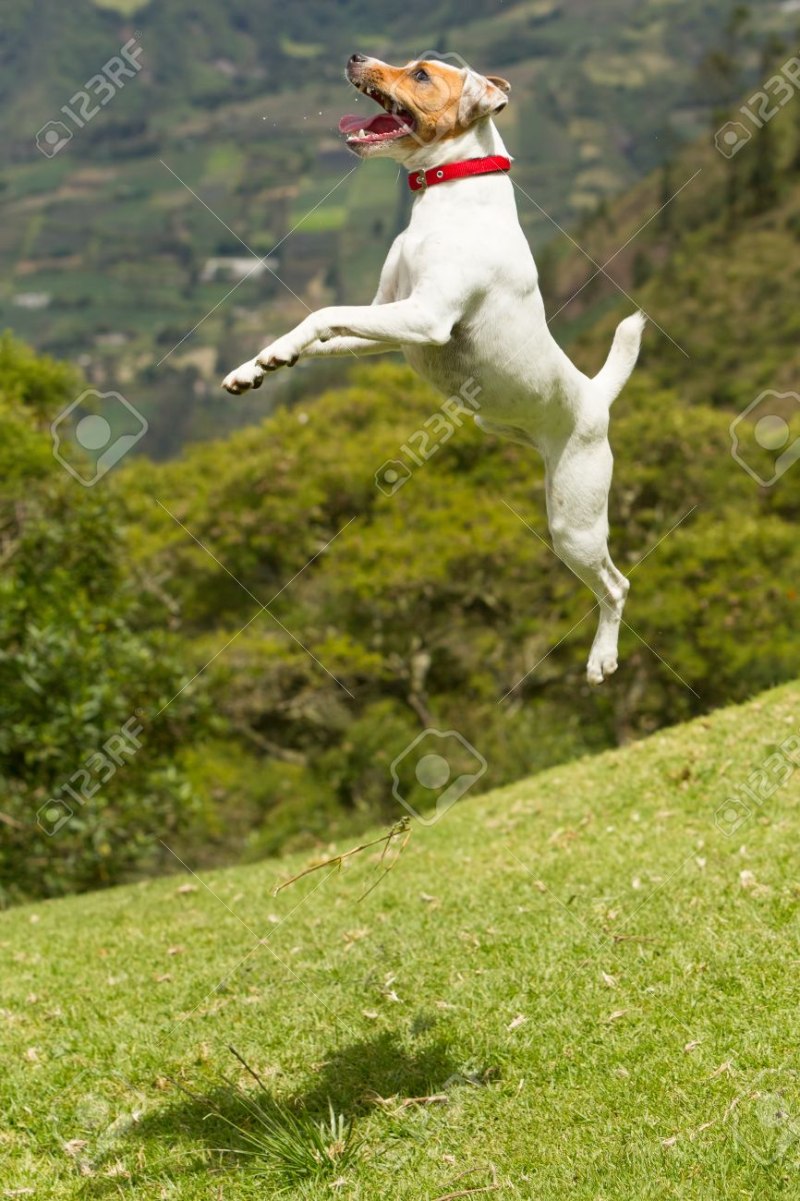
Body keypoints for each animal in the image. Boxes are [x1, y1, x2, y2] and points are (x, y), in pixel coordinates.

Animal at [221, 51, 643, 686]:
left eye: (420, 74)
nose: (356, 56)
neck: (450, 193)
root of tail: (596, 395)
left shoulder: (424, 317)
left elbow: (322, 313)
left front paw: (273, 355)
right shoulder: (383, 317)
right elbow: (320, 334)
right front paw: (260, 364)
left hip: (576, 521)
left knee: (616, 586)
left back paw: (602, 659)